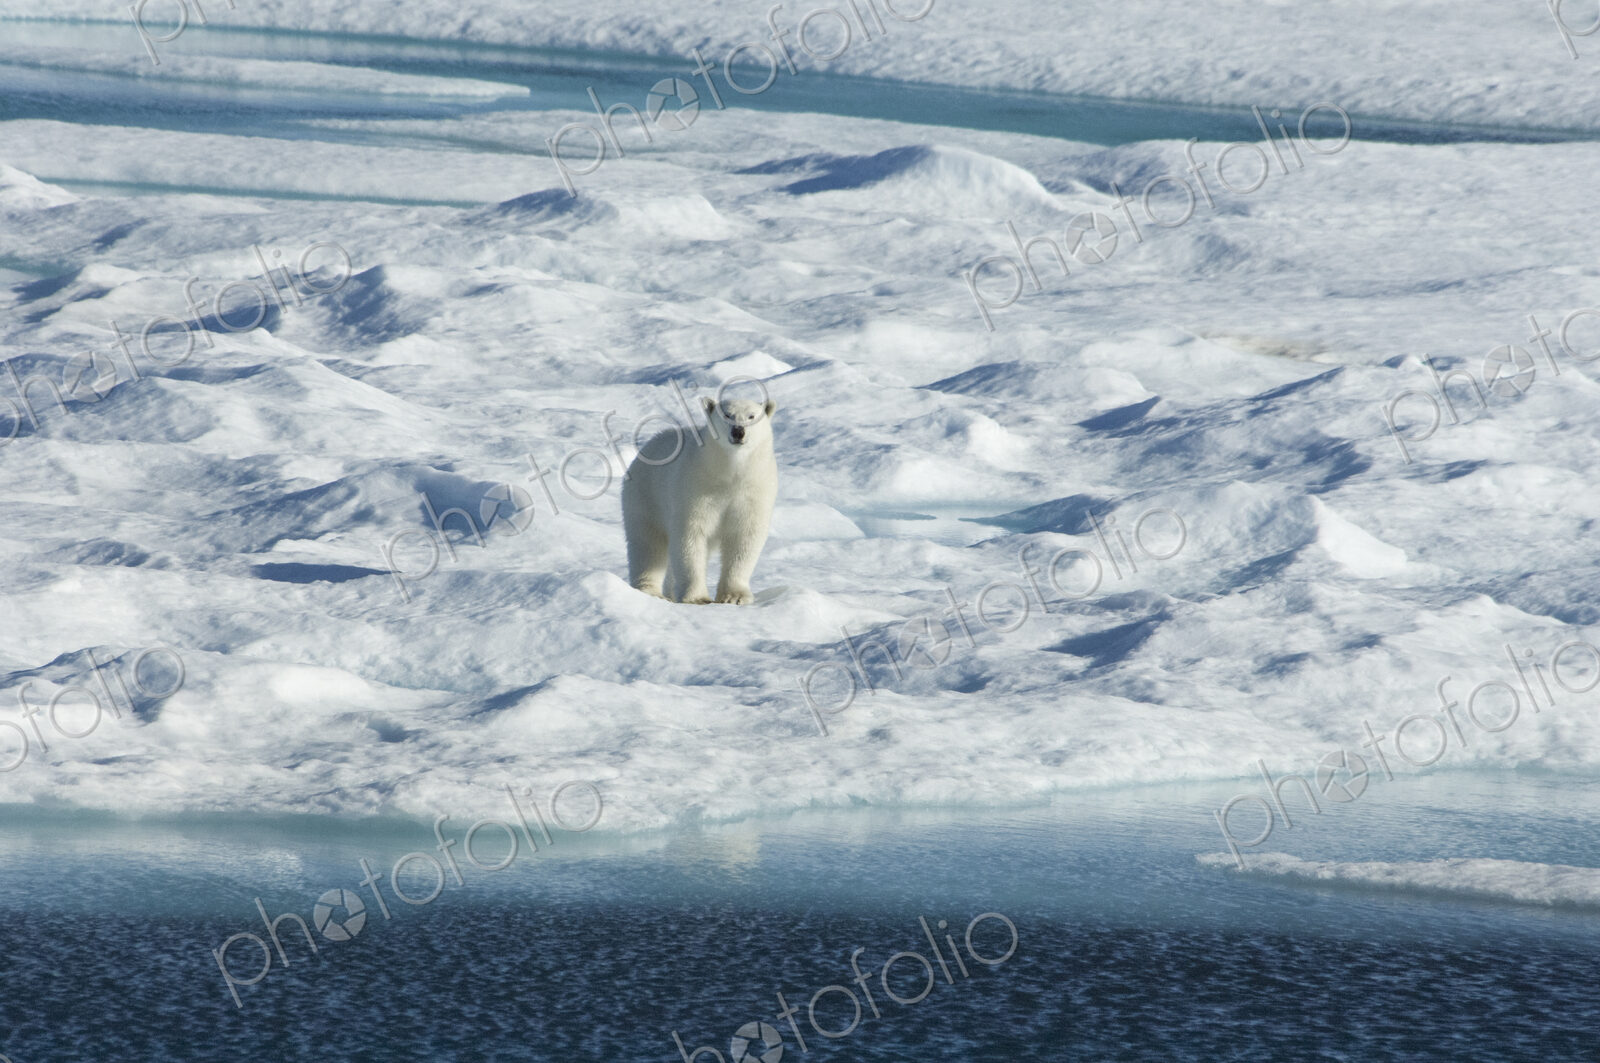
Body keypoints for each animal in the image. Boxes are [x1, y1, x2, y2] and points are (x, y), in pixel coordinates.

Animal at [622, 396, 778, 605]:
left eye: (752, 416)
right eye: (727, 414)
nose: (738, 431)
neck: (730, 474)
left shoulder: (754, 490)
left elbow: (744, 537)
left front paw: (735, 596)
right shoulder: (696, 487)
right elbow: (691, 535)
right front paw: (697, 598)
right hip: (645, 496)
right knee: (648, 544)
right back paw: (650, 591)